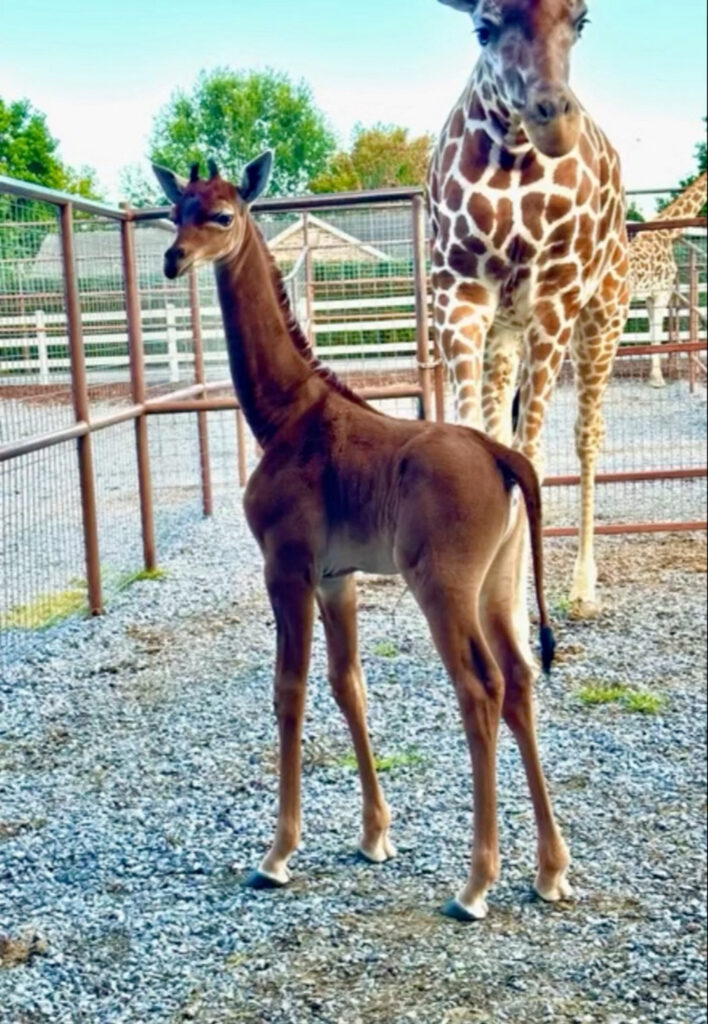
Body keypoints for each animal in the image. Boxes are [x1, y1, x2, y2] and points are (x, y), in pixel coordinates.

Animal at [153, 153, 571, 922]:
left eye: (222, 214)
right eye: (177, 211)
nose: (174, 259)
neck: (284, 415)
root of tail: (503, 456)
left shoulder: (286, 567)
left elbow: (289, 689)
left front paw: (277, 855)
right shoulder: (335, 577)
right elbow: (348, 684)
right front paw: (375, 836)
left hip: (444, 587)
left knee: (481, 688)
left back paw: (474, 886)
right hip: (499, 586)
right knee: (522, 680)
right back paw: (551, 871)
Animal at [428, 0, 630, 622]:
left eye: (581, 21)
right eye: (483, 28)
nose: (553, 120)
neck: (514, 157)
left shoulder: (555, 298)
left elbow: (531, 455)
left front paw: (516, 613)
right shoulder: (459, 294)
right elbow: (480, 443)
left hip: (603, 315)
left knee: (588, 434)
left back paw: (584, 588)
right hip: (505, 332)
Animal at [629, 172, 707, 388]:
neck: (666, 232)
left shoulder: (650, 295)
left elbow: (652, 331)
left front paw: (654, 376)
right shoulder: (662, 292)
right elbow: (656, 331)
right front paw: (657, 379)